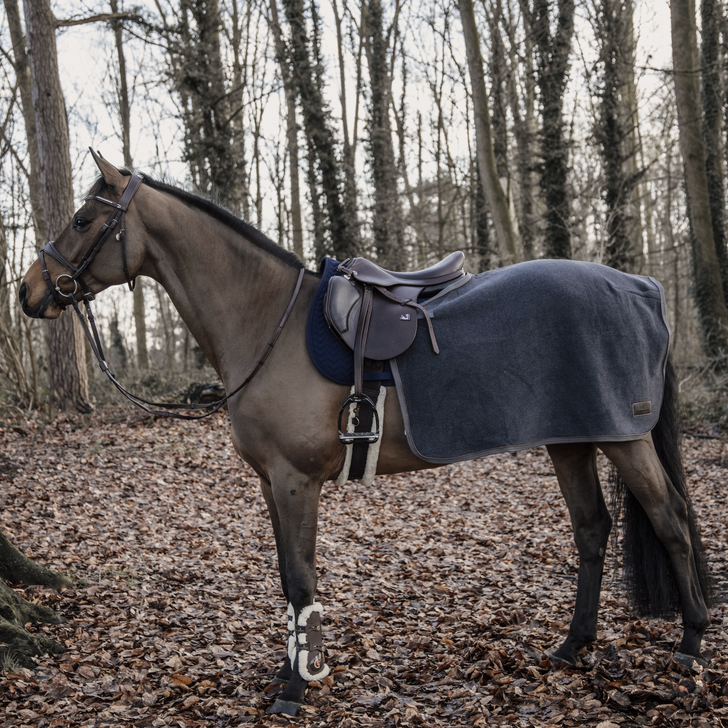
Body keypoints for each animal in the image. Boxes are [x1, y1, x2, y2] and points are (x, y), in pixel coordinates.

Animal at [19, 152, 713, 716]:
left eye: (82, 219)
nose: (27, 292)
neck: (267, 321)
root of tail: (642, 287)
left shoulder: (296, 481)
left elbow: (300, 577)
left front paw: (295, 691)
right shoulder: (272, 483)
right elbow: (286, 577)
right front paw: (293, 671)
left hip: (624, 437)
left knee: (673, 519)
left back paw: (691, 643)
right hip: (571, 439)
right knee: (593, 528)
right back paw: (573, 645)